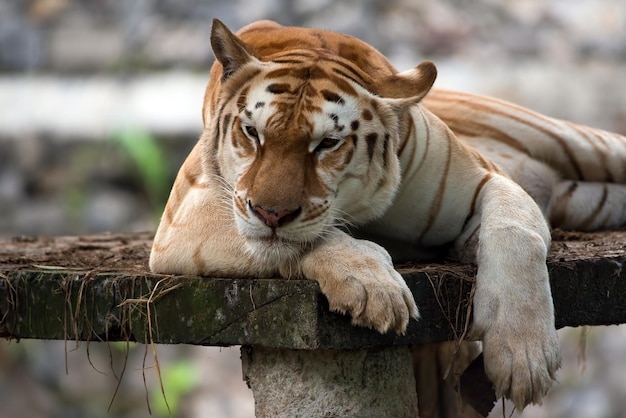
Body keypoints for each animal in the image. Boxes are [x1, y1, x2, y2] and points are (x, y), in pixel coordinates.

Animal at [149, 18, 624, 412]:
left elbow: (515, 233)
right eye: (252, 133)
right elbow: (313, 240)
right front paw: (374, 289)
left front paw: (524, 357)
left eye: (327, 143)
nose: (270, 212)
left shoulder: (489, 179)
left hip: (585, 144)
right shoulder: (189, 214)